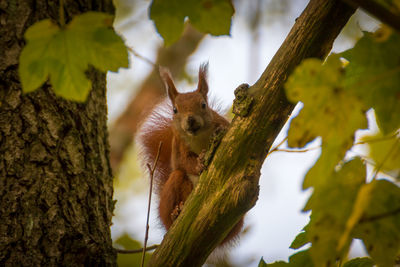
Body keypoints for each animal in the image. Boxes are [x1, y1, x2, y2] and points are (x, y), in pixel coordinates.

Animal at [138, 63, 244, 247]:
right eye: (175, 110)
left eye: (203, 105)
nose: (190, 120)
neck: (198, 136)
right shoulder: (179, 145)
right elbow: (183, 162)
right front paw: (199, 163)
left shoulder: (223, 123)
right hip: (174, 187)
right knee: (178, 177)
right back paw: (176, 213)